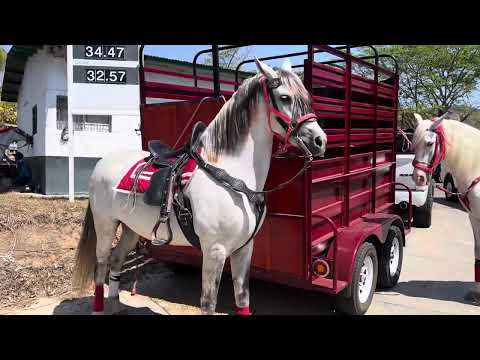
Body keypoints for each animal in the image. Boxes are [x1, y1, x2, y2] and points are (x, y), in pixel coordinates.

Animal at [72, 59, 326, 316]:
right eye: (285, 97)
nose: (320, 141)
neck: (231, 174)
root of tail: (102, 162)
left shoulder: (244, 249)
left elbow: (242, 298)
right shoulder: (215, 251)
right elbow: (208, 304)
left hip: (131, 228)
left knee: (116, 260)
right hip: (105, 225)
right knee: (101, 266)